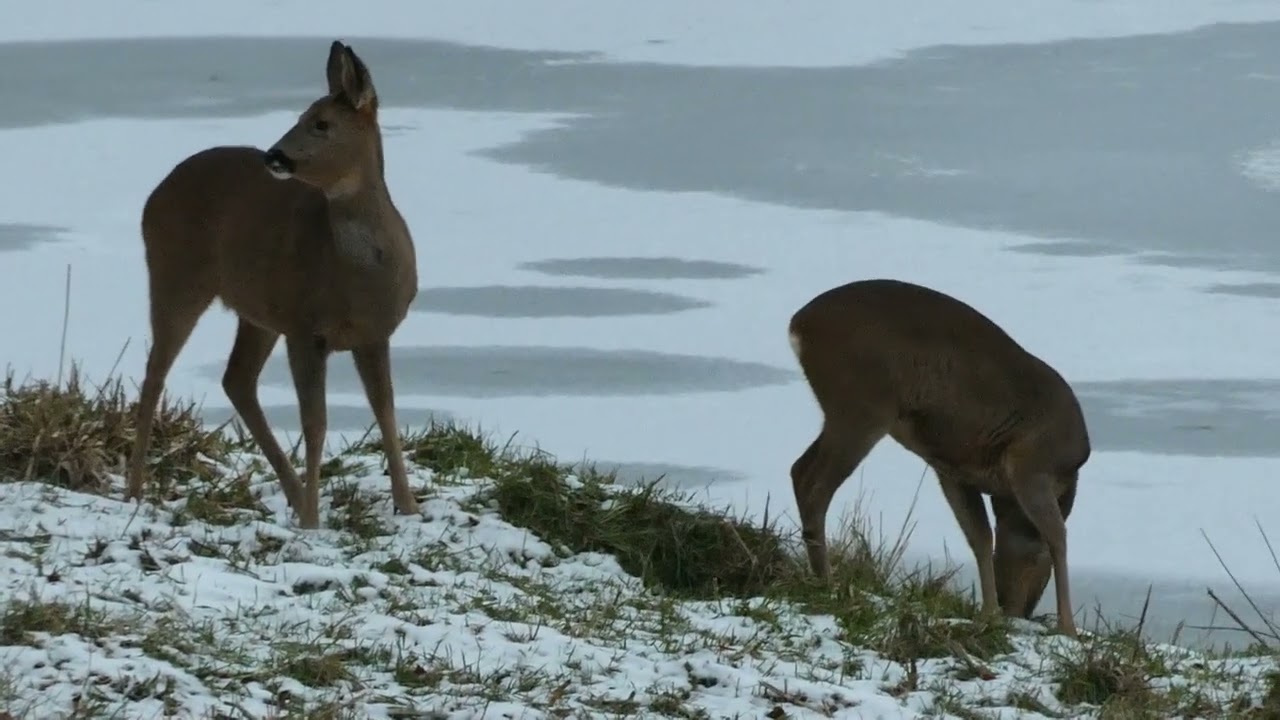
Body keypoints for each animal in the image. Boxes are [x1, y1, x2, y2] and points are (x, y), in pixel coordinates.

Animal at [126, 40, 421, 530]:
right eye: (301, 115)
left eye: (321, 123)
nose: (274, 156)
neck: (357, 276)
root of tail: (154, 194)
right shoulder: (305, 328)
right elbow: (315, 422)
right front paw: (314, 521)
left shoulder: (375, 333)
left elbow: (386, 410)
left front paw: (409, 506)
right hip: (176, 272)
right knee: (155, 374)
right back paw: (134, 490)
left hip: (258, 310)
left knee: (236, 379)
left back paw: (293, 495)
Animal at [786, 278, 1089, 637]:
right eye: (1037, 562)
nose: (1020, 610)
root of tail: (798, 325)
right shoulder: (1030, 467)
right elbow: (1058, 536)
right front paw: (1068, 628)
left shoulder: (953, 470)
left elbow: (980, 538)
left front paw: (988, 615)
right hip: (863, 405)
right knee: (816, 484)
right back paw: (828, 582)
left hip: (844, 411)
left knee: (798, 469)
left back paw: (820, 577)